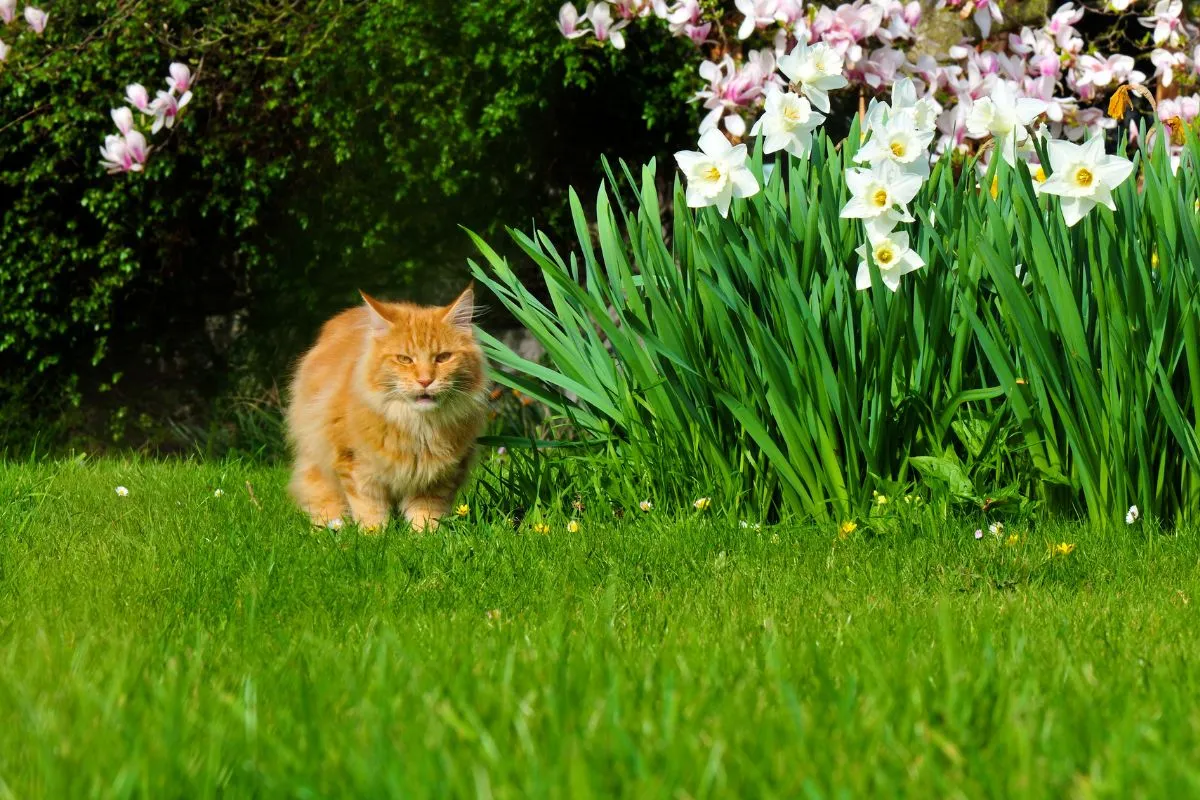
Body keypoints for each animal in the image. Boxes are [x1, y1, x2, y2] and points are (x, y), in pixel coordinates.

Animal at [285, 284, 487, 534]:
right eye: (404, 359)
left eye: (443, 357)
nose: (425, 380)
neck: (419, 428)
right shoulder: (357, 467)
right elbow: (370, 511)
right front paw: (374, 536)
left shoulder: (437, 478)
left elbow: (426, 515)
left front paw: (425, 537)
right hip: (317, 460)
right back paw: (332, 528)